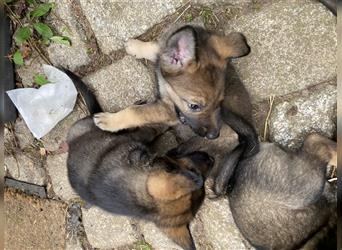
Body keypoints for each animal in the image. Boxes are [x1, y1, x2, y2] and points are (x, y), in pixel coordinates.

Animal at [93, 24, 260, 158]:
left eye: (220, 102)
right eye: (194, 106)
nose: (214, 135)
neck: (166, 85)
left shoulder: (167, 110)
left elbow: (136, 111)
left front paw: (109, 120)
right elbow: (157, 50)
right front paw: (136, 46)